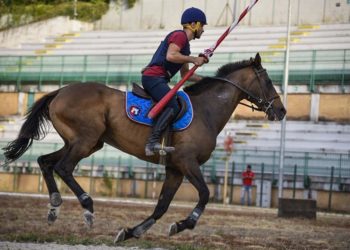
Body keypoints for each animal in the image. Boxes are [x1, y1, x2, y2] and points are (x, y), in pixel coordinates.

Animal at [2, 52, 286, 242]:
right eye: (268, 80)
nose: (282, 111)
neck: (207, 110)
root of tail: (59, 92)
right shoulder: (187, 162)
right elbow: (205, 194)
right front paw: (184, 224)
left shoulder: (175, 170)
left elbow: (161, 206)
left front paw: (132, 231)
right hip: (85, 141)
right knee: (63, 167)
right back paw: (87, 207)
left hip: (84, 142)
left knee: (45, 162)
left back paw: (54, 206)